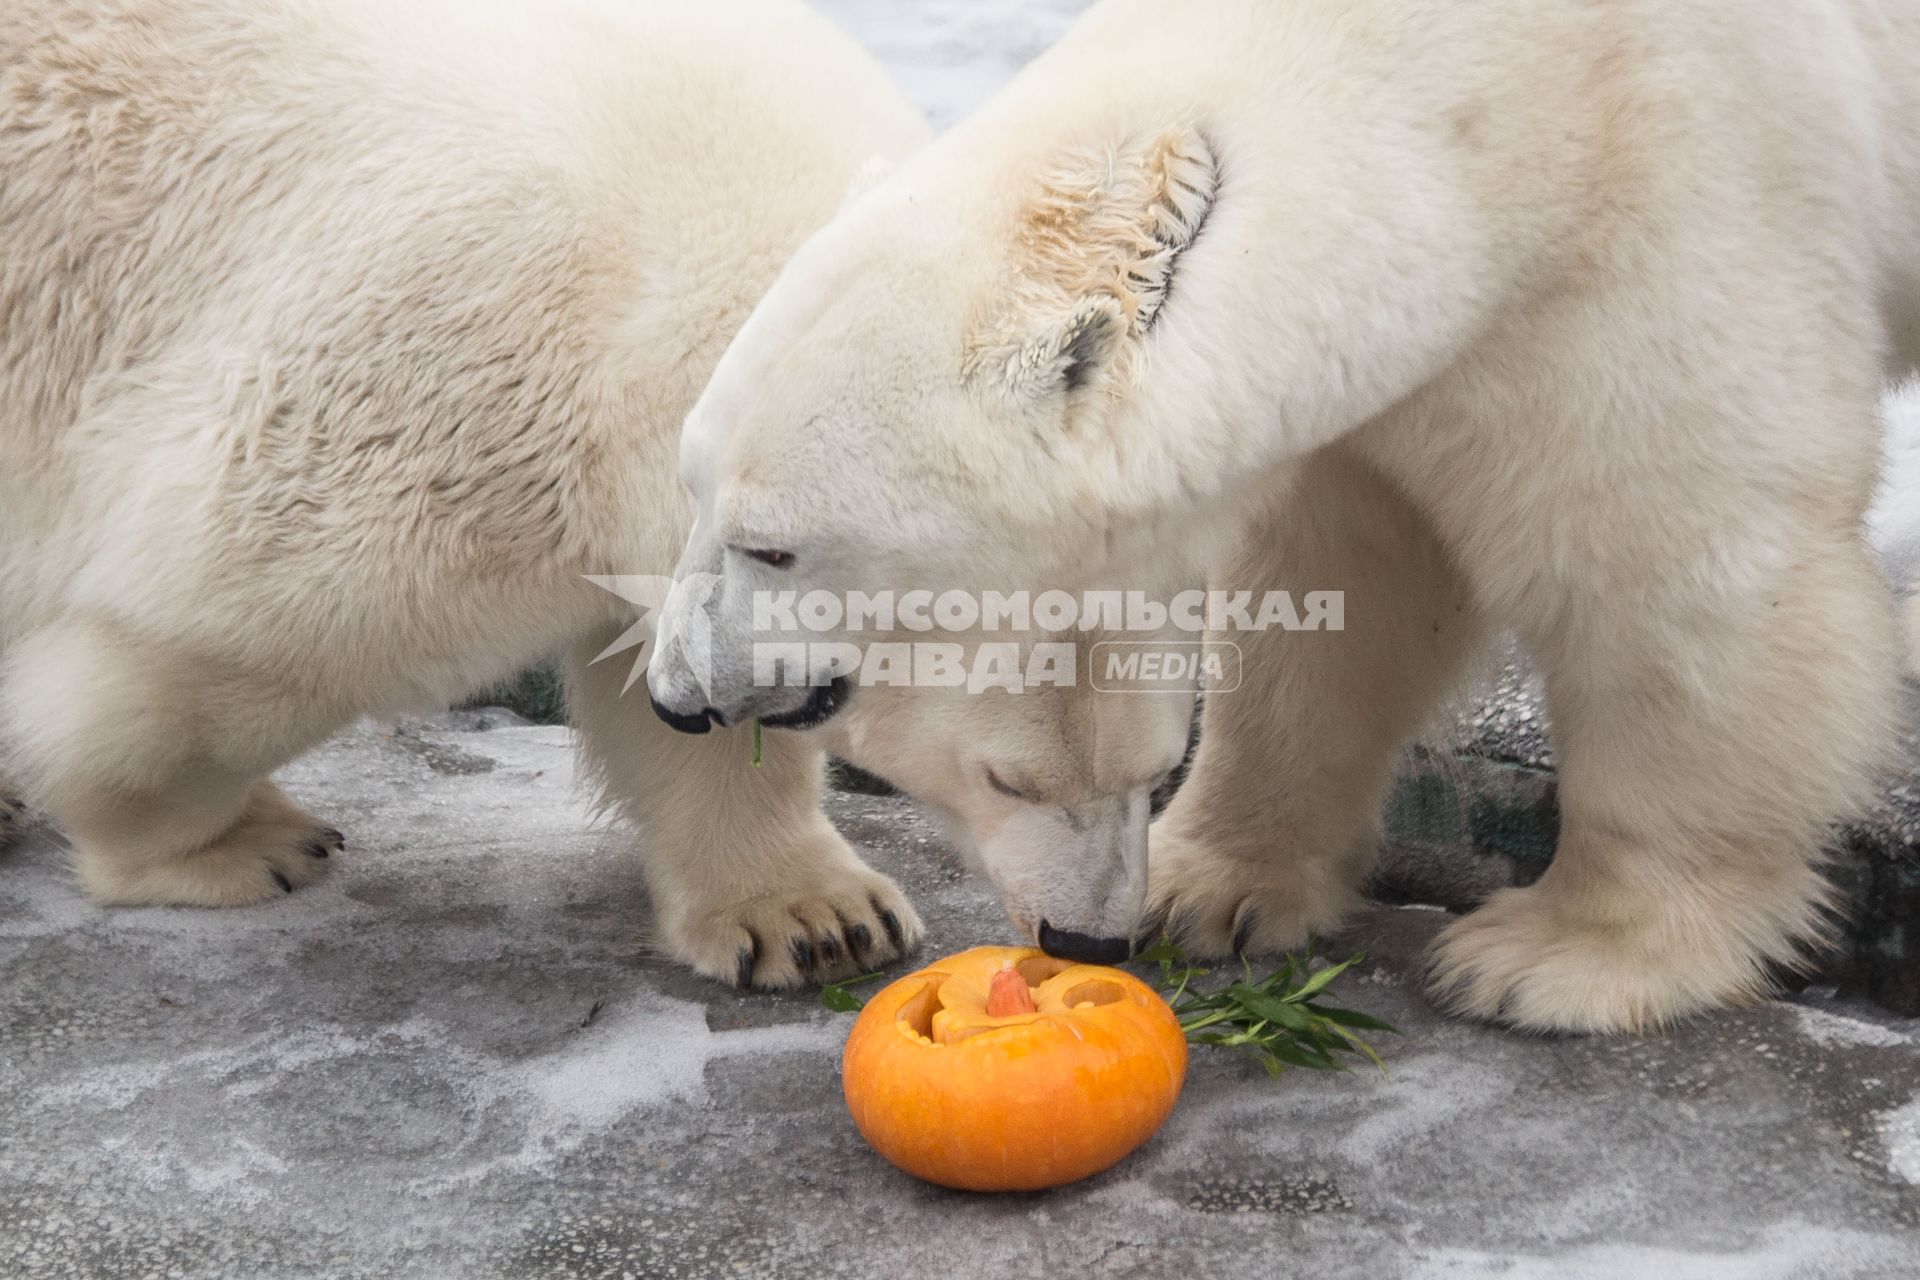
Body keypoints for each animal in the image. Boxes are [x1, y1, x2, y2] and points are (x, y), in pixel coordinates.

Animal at [652, 0, 1920, 1028]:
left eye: (773, 544)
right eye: (692, 485)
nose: (677, 693)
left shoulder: (1673, 196)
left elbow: (1676, 568)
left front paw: (1562, 956)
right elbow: (1343, 583)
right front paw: (1208, 885)